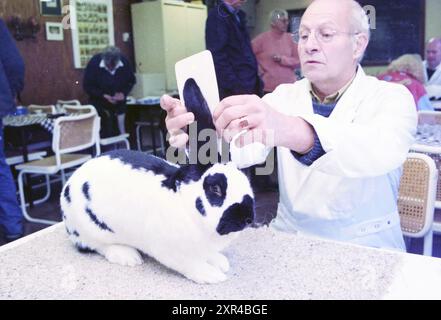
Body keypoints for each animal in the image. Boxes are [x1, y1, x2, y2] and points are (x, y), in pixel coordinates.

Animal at [60, 79, 256, 284]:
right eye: (216, 188)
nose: (247, 218)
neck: (185, 202)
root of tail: (69, 183)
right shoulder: (171, 251)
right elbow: (191, 265)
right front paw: (211, 275)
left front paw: (219, 262)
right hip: (90, 231)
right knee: (97, 246)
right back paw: (127, 256)